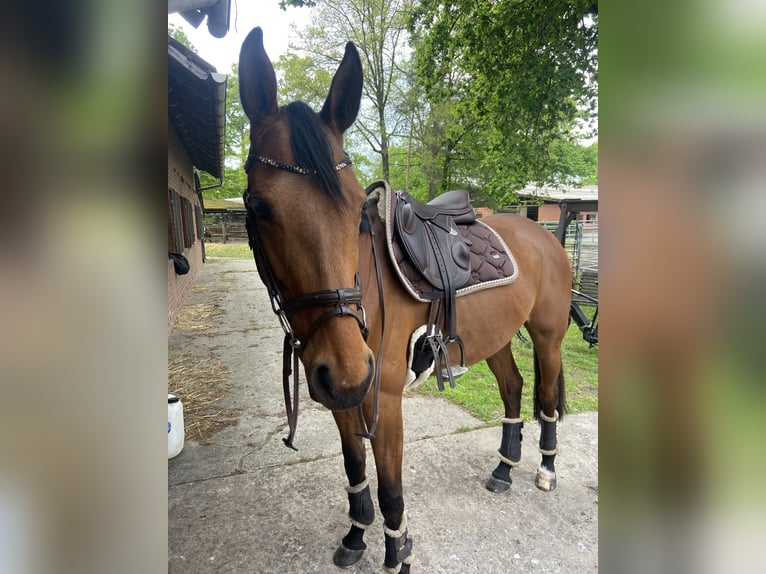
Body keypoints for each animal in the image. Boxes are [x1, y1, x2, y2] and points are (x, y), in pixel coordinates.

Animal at [243, 28, 572, 574]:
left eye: (358, 207)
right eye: (259, 207)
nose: (346, 368)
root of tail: (543, 234)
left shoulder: (385, 397)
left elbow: (392, 491)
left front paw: (397, 554)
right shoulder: (343, 396)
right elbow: (355, 469)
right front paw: (356, 535)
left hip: (547, 337)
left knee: (545, 396)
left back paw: (545, 468)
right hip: (494, 338)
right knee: (513, 389)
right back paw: (504, 469)